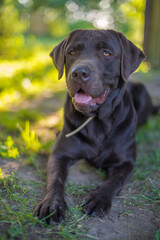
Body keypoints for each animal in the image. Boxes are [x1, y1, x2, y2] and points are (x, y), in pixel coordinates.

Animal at [34, 29, 160, 223]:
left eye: (106, 53)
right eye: (72, 52)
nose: (79, 73)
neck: (97, 121)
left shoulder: (126, 162)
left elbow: (115, 181)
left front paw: (99, 199)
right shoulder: (59, 155)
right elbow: (55, 180)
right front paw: (52, 205)